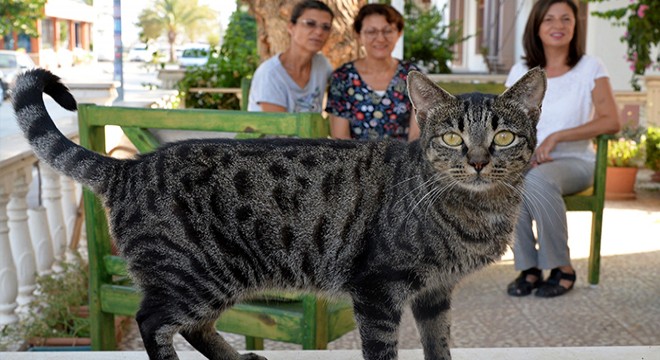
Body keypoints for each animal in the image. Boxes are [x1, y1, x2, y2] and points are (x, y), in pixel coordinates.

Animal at [12, 67, 548, 360]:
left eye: (504, 137)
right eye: (452, 137)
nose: (477, 161)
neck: (476, 209)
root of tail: (130, 167)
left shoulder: (435, 292)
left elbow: (440, 346)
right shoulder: (378, 289)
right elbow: (383, 350)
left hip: (216, 279)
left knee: (193, 326)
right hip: (197, 274)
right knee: (152, 321)